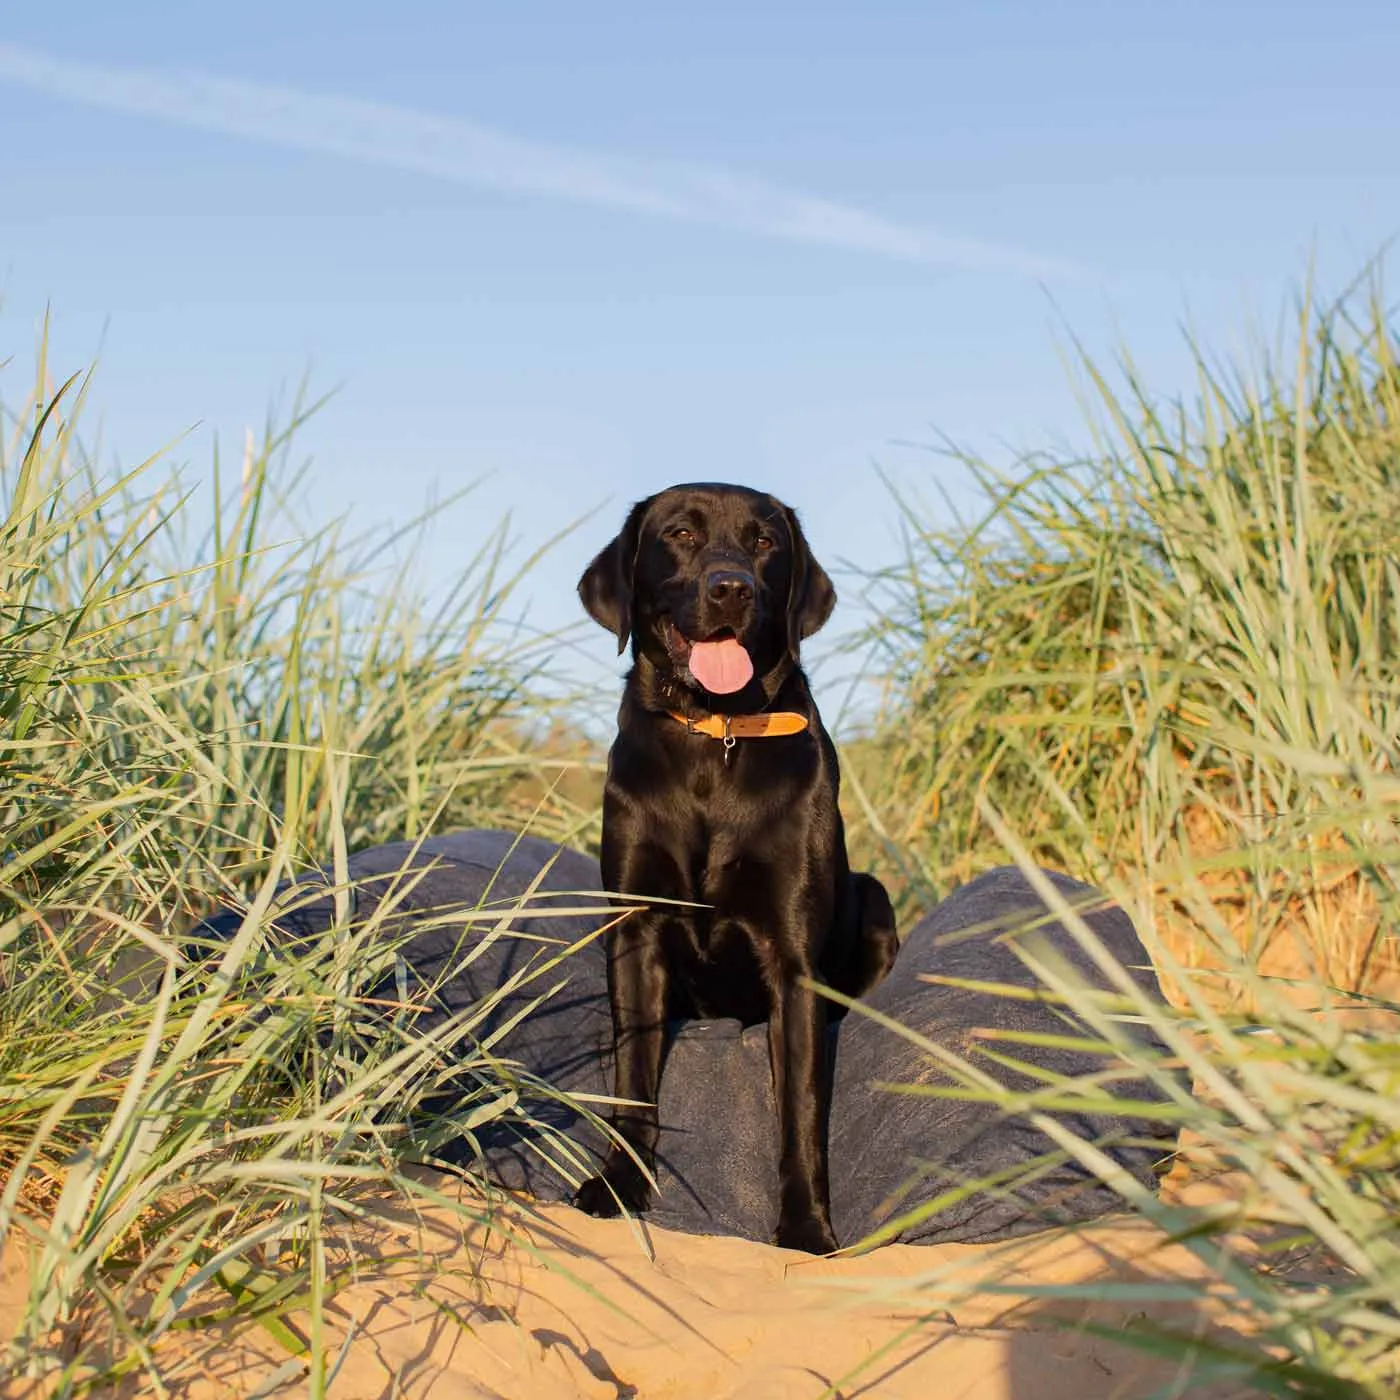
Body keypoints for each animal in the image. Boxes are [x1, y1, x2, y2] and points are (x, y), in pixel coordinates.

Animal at [568, 484, 896, 1260]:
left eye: (765, 542)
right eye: (681, 534)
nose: (731, 588)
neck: (714, 736)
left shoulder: (793, 957)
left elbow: (801, 1108)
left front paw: (805, 1227)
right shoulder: (635, 930)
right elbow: (632, 1075)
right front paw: (619, 1184)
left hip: (874, 900)